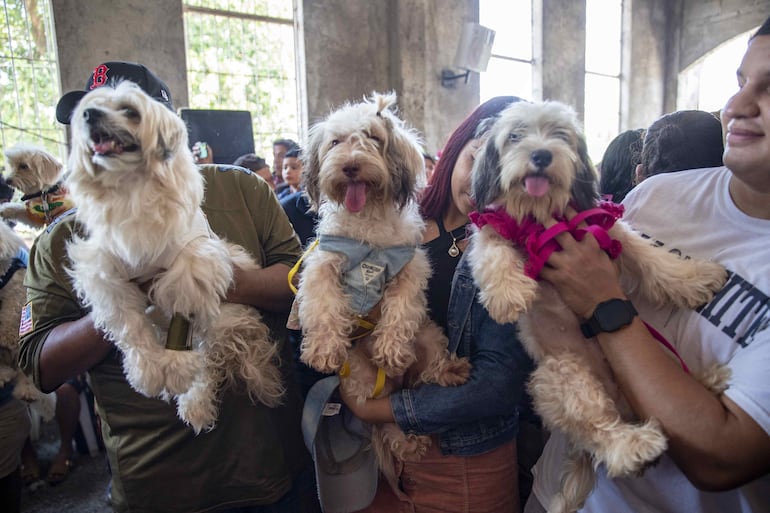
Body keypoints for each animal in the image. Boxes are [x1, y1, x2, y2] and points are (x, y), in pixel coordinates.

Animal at [63, 81, 284, 432]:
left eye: (129, 111)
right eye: (89, 107)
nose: (90, 114)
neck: (131, 190)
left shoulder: (192, 264)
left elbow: (182, 313)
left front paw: (175, 365)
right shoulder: (106, 274)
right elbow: (131, 327)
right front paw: (147, 370)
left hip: (224, 318)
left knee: (208, 358)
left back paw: (195, 395)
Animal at [298, 92, 468, 476]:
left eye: (373, 138)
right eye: (335, 142)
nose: (350, 166)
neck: (368, 228)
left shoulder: (410, 267)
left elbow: (401, 310)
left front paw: (390, 350)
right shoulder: (323, 262)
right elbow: (323, 304)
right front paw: (324, 349)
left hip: (429, 338)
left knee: (426, 377)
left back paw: (448, 371)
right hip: (361, 378)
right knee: (387, 415)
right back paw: (407, 439)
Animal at [462, 101, 728, 512]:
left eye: (560, 135)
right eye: (515, 136)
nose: (542, 155)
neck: (541, 214)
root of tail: (622, 402)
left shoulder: (606, 228)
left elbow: (651, 258)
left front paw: (694, 278)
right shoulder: (494, 225)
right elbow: (492, 248)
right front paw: (507, 293)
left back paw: (705, 382)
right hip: (562, 377)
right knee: (603, 433)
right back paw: (635, 446)